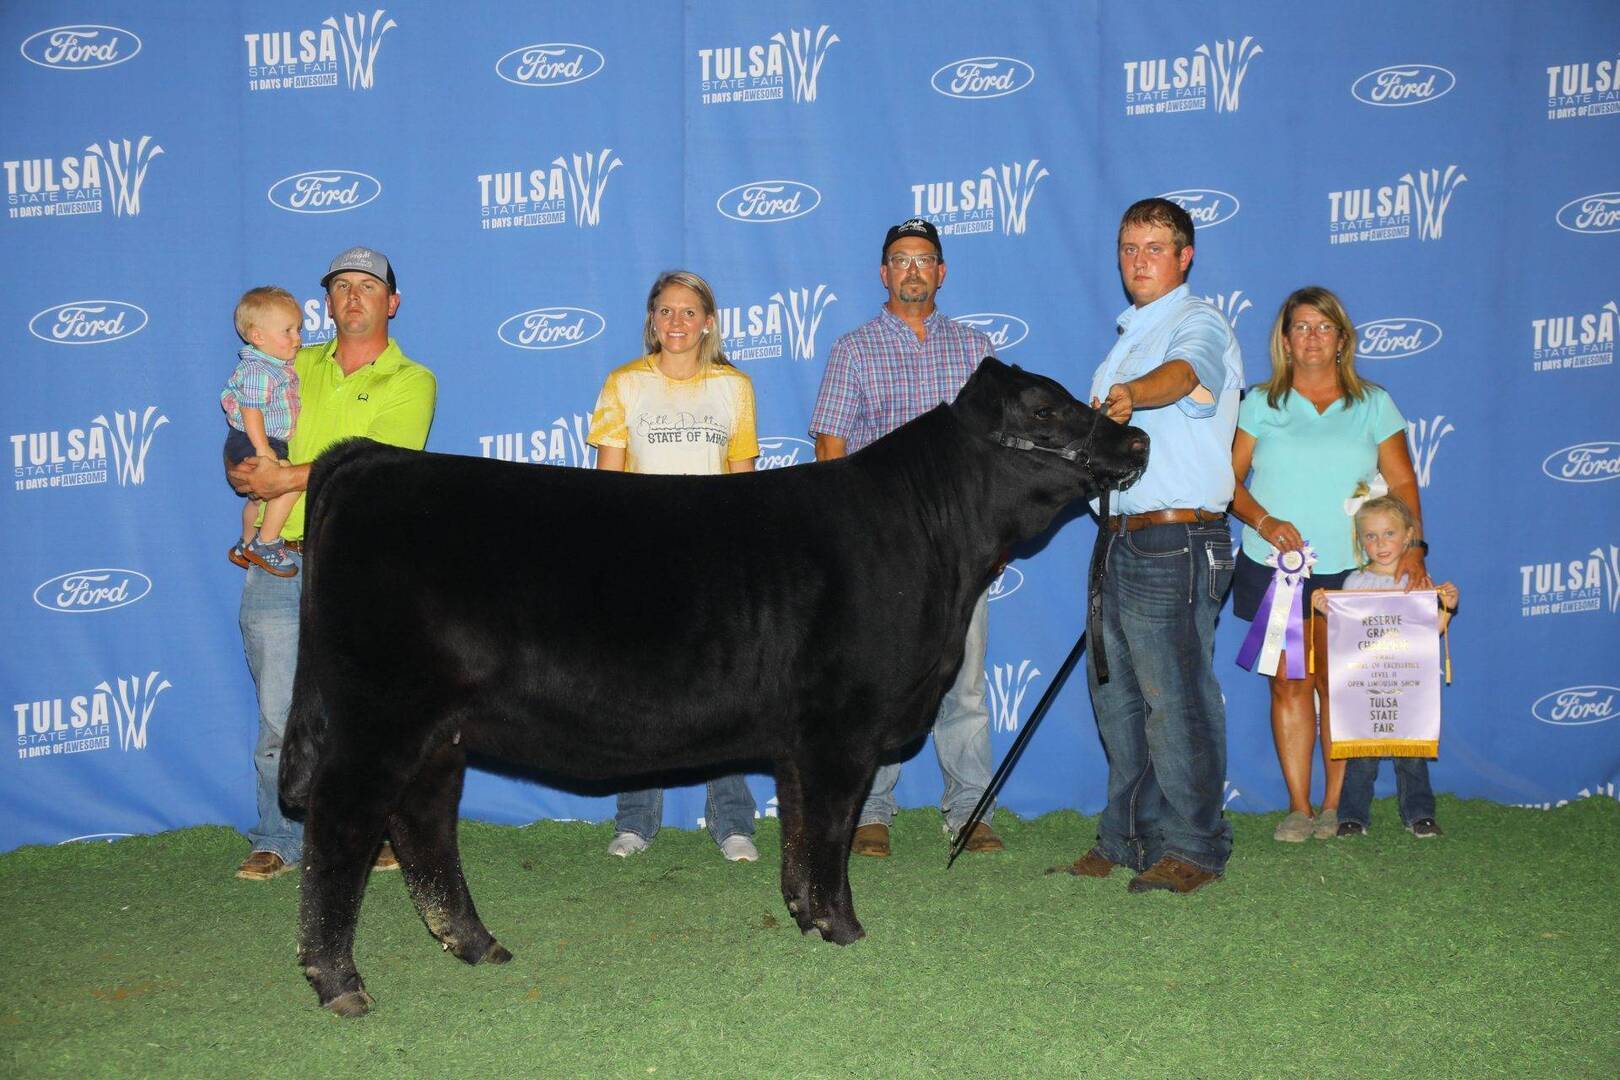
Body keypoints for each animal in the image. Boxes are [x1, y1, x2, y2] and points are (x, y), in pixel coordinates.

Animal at [278, 358, 1148, 1016]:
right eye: (1046, 407)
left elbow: (799, 830)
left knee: (423, 826)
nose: (1137, 433)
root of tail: (376, 458)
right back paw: (338, 982)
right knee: (343, 823)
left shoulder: (801, 741)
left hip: (441, 732)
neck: (932, 541)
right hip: (380, 716)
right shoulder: (843, 728)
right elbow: (832, 834)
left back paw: (476, 945)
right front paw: (844, 929)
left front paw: (802, 917)